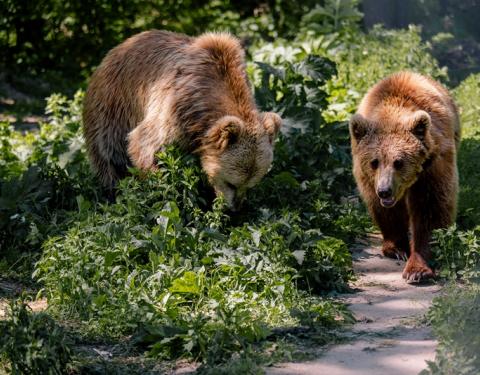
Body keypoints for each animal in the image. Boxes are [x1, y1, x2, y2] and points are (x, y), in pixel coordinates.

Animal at [80, 30, 280, 212]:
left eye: (250, 184)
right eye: (231, 183)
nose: (235, 208)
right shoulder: (175, 107)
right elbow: (146, 145)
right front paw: (166, 193)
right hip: (112, 108)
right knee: (109, 154)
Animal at [348, 72, 462, 284]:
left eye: (398, 162)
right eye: (374, 162)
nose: (384, 191)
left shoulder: (433, 166)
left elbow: (430, 209)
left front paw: (417, 270)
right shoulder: (367, 178)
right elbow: (385, 210)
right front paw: (397, 248)